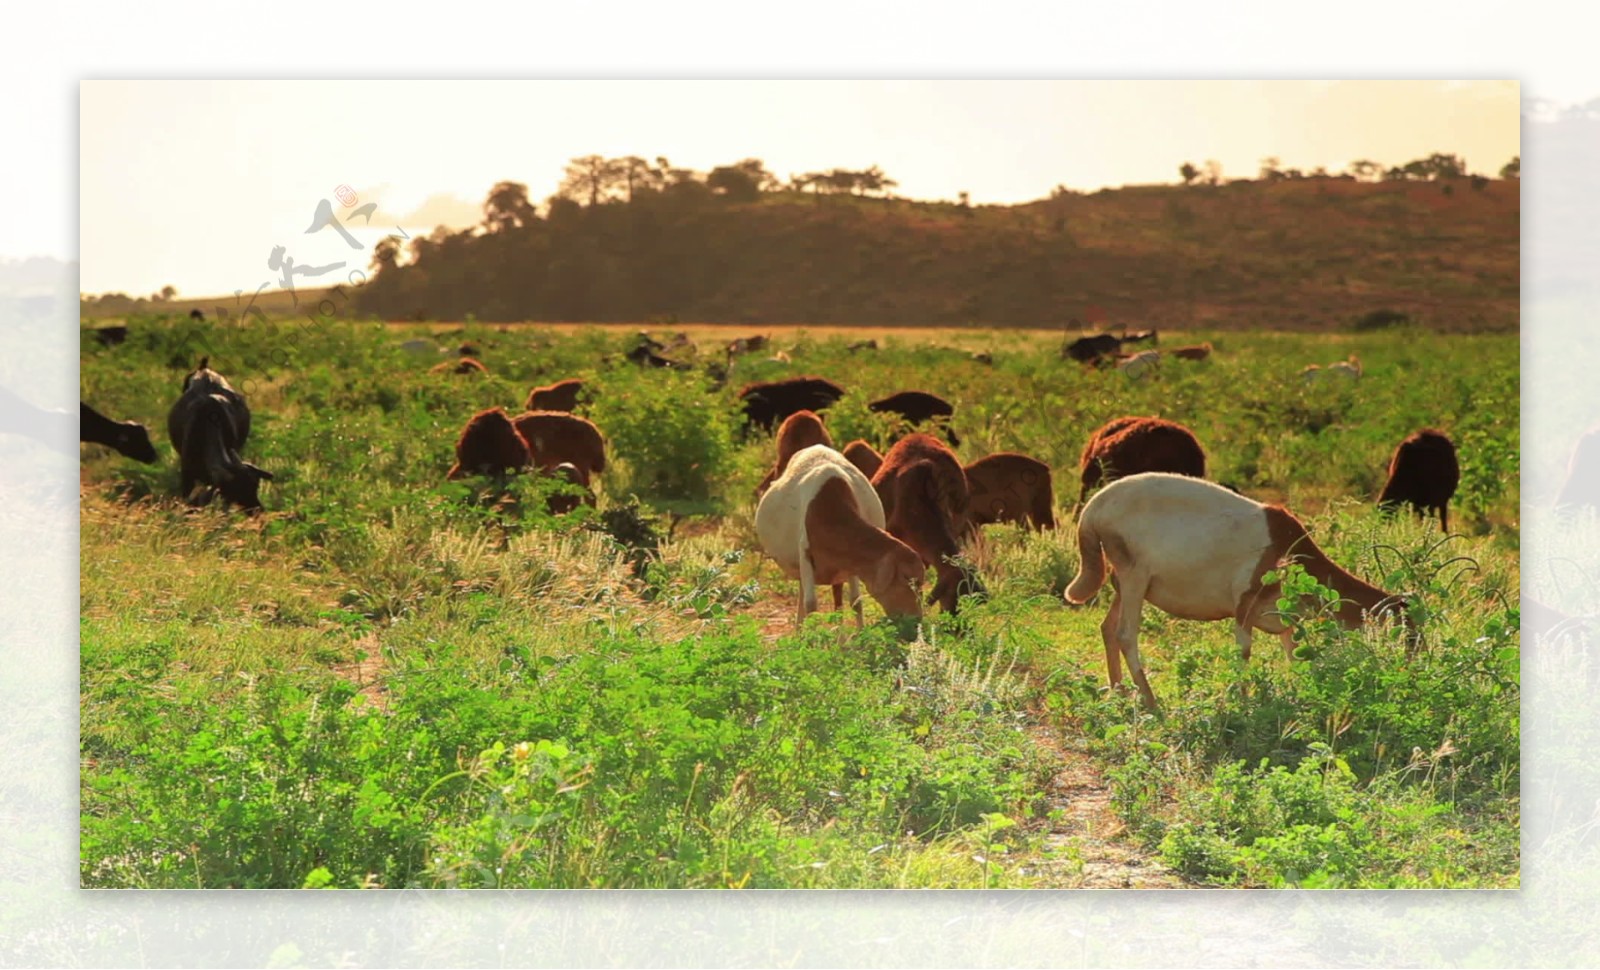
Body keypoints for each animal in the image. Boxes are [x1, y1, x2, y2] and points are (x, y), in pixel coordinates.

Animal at [758, 444, 934, 627]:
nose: (916, 619)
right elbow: (811, 605)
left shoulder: (852, 562)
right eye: (907, 579)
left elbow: (856, 602)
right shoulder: (805, 554)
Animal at [1068, 473, 1408, 710]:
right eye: (1408, 635)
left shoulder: (1286, 619)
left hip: (1123, 585)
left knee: (1108, 628)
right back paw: (1152, 703)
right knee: (1126, 634)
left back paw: (1119, 694)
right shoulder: (1245, 603)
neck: (1284, 546)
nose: (1407, 669)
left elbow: (1293, 654)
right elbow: (1243, 652)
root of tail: (1092, 512)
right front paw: (1243, 702)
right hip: (1134, 577)